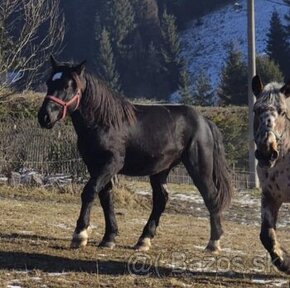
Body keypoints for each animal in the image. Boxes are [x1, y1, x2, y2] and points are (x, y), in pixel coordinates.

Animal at [38, 57, 233, 253]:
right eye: (49, 82)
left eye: (67, 85)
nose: (44, 116)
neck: (104, 122)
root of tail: (205, 122)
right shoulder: (94, 165)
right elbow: (105, 197)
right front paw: (109, 238)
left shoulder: (111, 163)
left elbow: (90, 191)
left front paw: (80, 235)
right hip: (160, 170)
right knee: (161, 200)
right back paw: (144, 240)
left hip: (199, 168)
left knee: (211, 197)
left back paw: (213, 243)